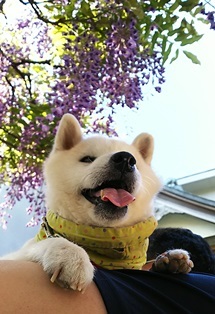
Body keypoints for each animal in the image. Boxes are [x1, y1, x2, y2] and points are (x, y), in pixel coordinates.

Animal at [1, 113, 193, 292]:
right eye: (87, 159)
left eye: (136, 162)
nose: (125, 159)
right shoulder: (15, 256)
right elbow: (49, 242)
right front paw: (72, 255)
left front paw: (167, 259)